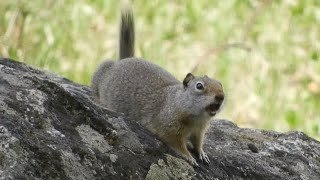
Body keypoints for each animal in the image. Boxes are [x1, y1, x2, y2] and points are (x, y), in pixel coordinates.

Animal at [90, 8, 225, 166]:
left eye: (220, 84)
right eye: (199, 86)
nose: (221, 97)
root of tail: (122, 60)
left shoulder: (199, 131)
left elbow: (198, 143)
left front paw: (202, 153)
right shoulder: (169, 128)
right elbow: (176, 143)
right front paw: (189, 157)